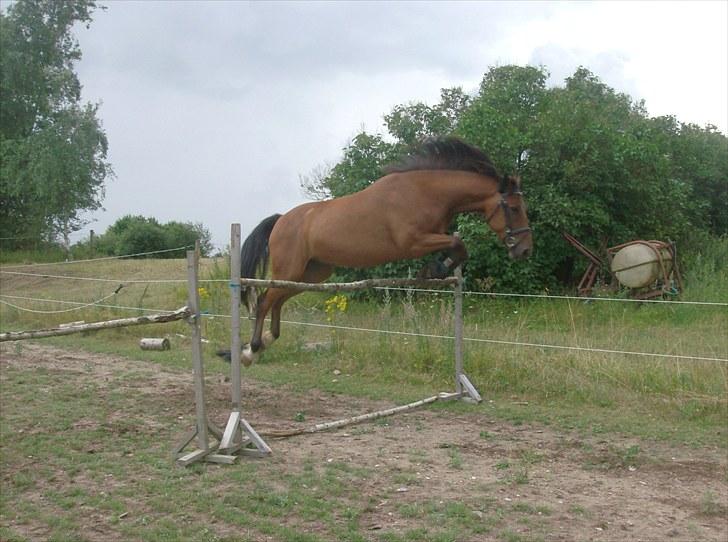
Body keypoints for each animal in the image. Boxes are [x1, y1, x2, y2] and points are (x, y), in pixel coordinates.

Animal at [236, 136, 532, 368]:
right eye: (514, 208)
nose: (525, 250)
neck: (426, 192)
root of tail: (281, 219)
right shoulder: (413, 242)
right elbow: (460, 246)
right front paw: (433, 269)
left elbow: (458, 249)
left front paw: (432, 271)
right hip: (291, 270)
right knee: (264, 300)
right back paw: (252, 349)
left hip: (310, 274)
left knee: (277, 300)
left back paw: (267, 340)